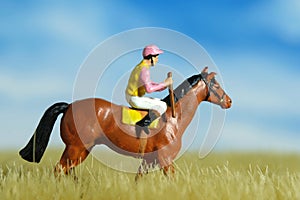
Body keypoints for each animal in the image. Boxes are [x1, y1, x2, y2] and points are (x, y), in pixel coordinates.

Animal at [19, 66, 232, 177]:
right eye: (216, 85)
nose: (229, 101)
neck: (173, 118)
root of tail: (69, 105)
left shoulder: (149, 161)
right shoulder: (165, 160)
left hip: (81, 149)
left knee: (66, 171)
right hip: (75, 148)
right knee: (59, 170)